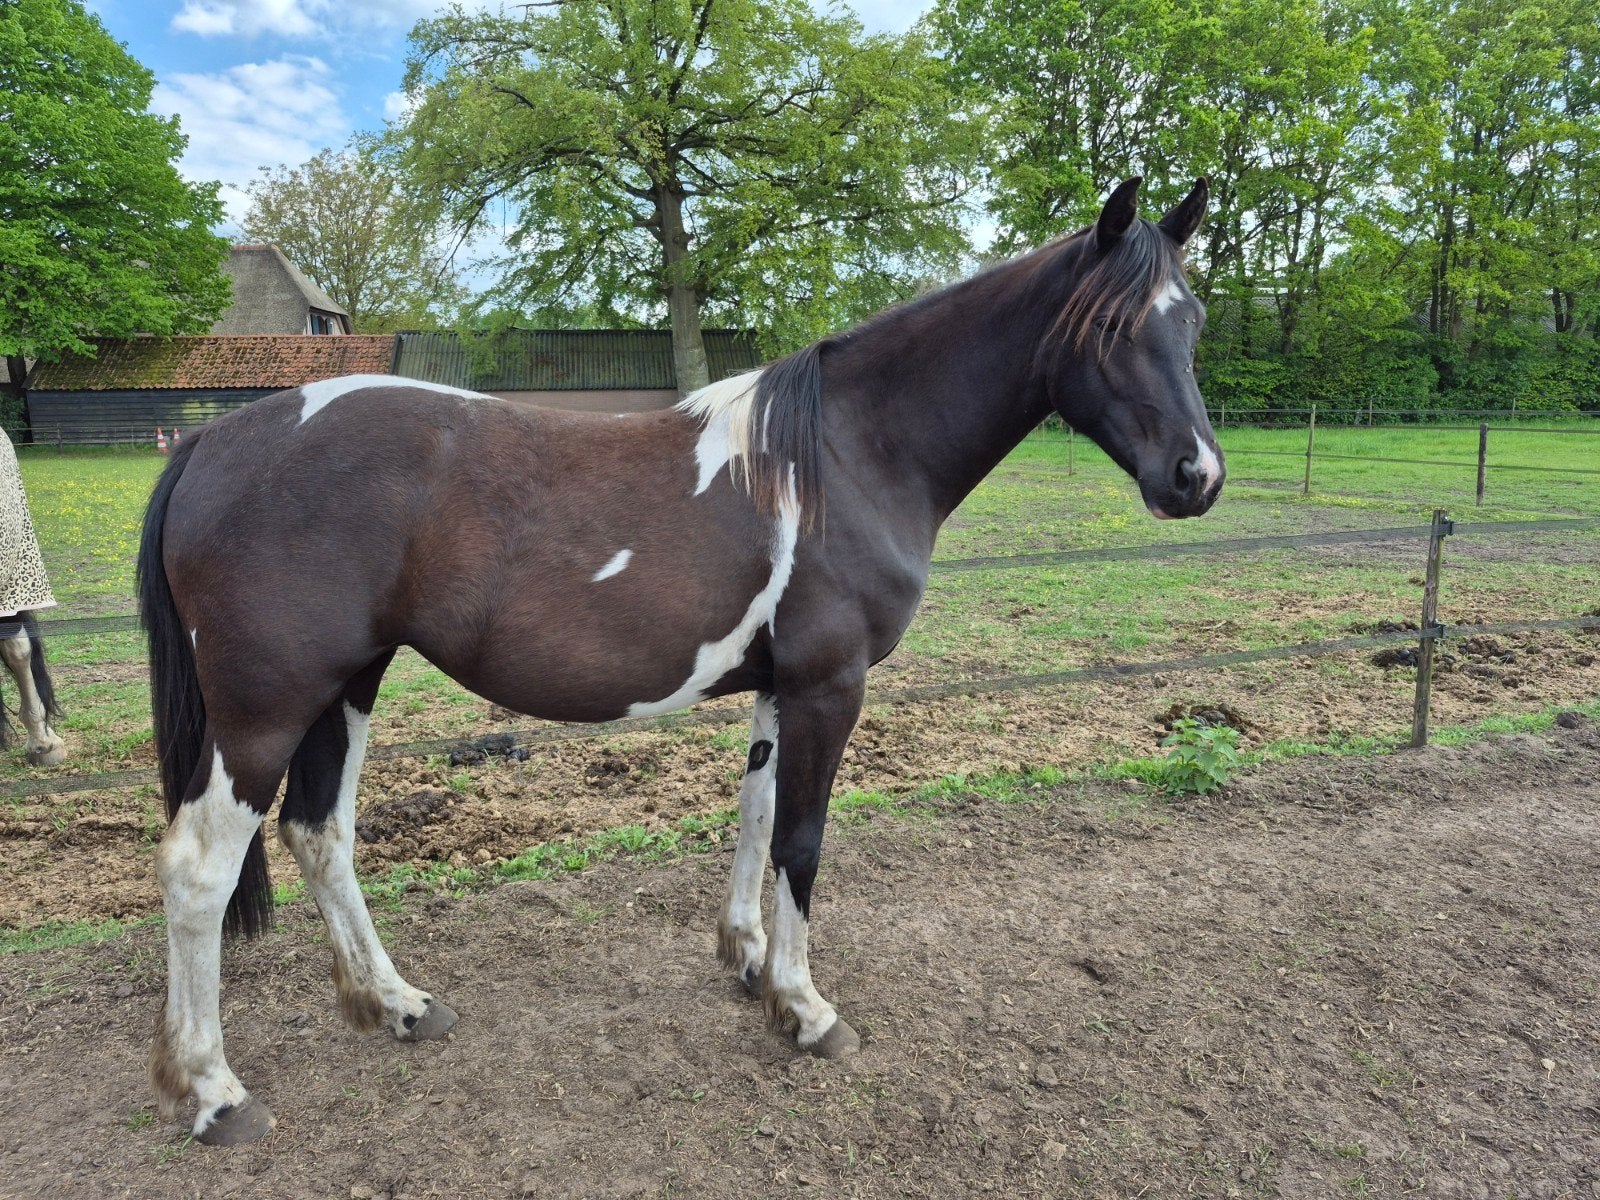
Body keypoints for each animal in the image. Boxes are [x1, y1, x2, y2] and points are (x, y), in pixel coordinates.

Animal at [138, 177, 1223, 1145]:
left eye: (1194, 320)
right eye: (1111, 326)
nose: (1197, 477)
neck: (842, 456)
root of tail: (210, 442)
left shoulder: (781, 690)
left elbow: (756, 818)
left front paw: (748, 961)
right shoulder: (830, 687)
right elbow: (802, 842)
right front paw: (805, 1009)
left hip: (346, 687)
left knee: (321, 833)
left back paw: (397, 1003)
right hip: (266, 710)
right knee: (199, 872)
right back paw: (215, 1093)